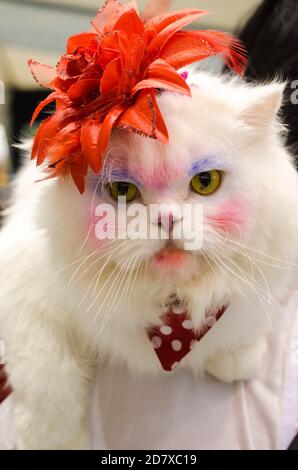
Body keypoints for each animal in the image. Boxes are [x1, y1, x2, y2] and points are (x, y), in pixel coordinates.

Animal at [1, 71, 298, 450]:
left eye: (206, 182)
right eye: (122, 191)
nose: (167, 219)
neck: (169, 310)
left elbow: (243, 322)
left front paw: (235, 361)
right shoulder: (25, 294)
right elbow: (50, 386)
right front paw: (56, 443)